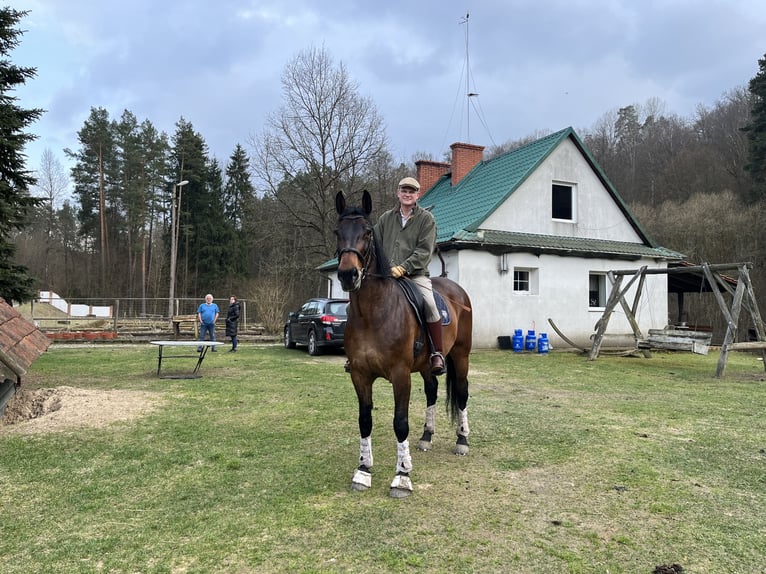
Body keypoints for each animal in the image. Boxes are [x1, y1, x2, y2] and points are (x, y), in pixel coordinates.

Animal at [336, 190, 474, 500]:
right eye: (337, 232)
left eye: (367, 232)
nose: (348, 275)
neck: (373, 313)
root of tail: (456, 289)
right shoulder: (360, 375)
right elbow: (365, 420)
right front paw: (363, 471)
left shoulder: (400, 376)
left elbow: (400, 423)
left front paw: (401, 477)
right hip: (426, 365)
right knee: (432, 392)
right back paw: (426, 437)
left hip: (461, 356)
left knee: (461, 393)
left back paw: (462, 440)